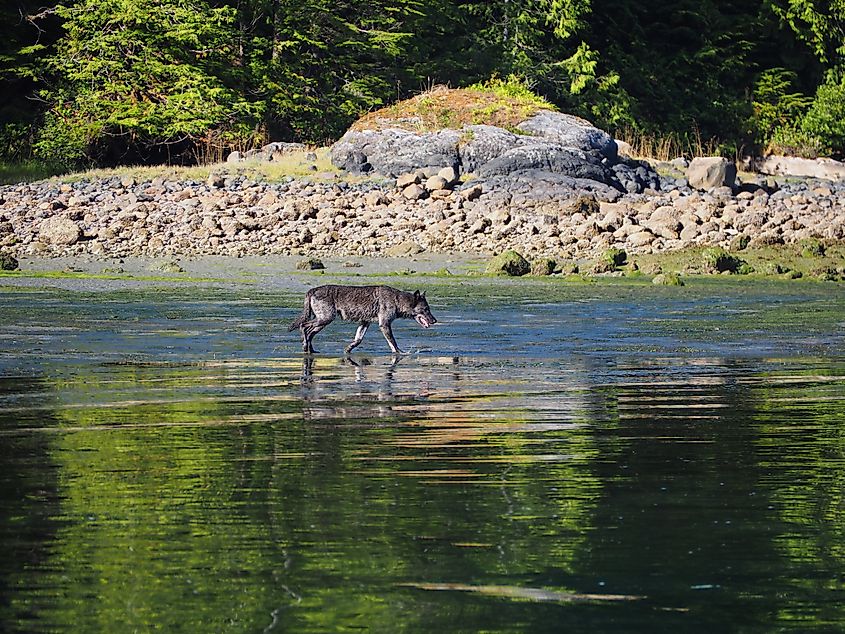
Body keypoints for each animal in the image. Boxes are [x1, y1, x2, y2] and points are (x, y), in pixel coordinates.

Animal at [289, 284, 437, 354]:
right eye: (426, 309)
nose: (434, 321)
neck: (396, 300)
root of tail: (312, 290)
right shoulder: (384, 325)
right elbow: (393, 343)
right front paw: (400, 353)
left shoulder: (365, 323)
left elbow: (358, 340)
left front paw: (347, 350)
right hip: (325, 319)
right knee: (304, 327)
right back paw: (305, 346)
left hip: (323, 322)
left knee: (310, 333)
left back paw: (310, 350)